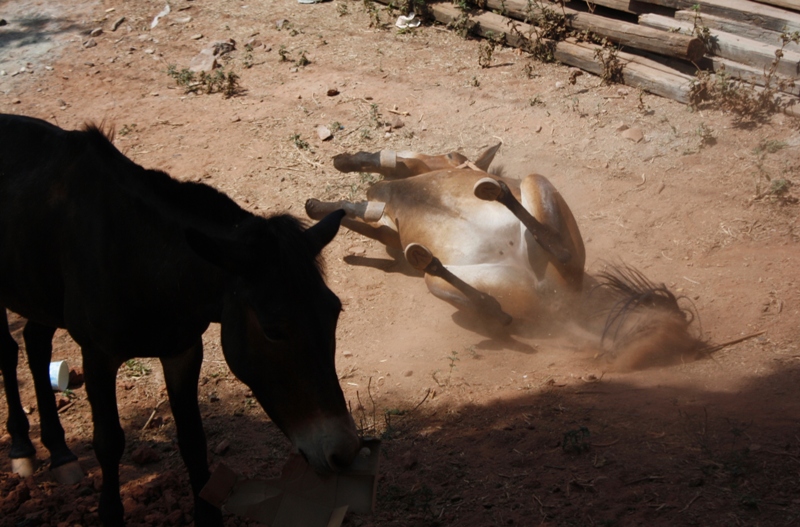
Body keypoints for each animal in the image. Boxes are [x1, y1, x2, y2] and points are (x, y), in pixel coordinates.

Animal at [0, 115, 360, 527]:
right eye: (272, 331)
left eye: (334, 312)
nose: (345, 453)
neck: (142, 255)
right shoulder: (97, 355)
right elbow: (109, 443)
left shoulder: (182, 350)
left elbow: (192, 439)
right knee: (8, 350)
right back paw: (22, 448)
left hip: (39, 291)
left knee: (34, 341)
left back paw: (60, 454)